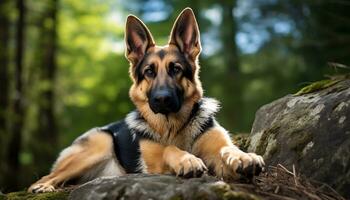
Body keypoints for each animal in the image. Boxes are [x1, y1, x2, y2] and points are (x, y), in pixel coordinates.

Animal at [27, 7, 264, 193]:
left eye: (176, 69)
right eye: (149, 72)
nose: (162, 99)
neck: (173, 127)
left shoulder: (218, 151)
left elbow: (227, 148)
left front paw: (244, 156)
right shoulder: (155, 166)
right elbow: (169, 149)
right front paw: (186, 159)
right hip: (100, 144)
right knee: (47, 176)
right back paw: (43, 186)